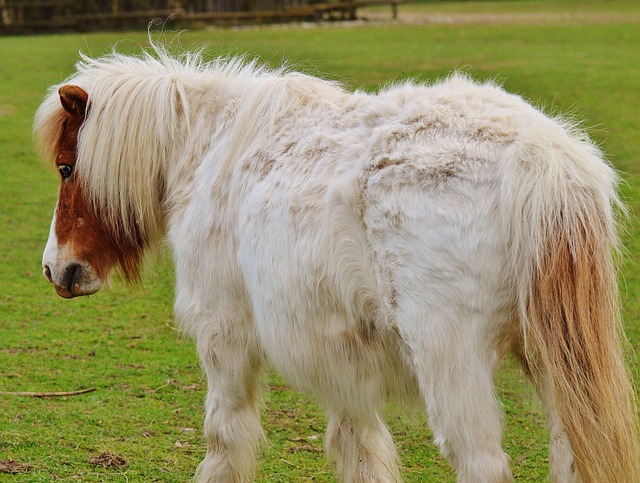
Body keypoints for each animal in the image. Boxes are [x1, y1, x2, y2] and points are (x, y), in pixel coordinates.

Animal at [36, 43, 640, 482]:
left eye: (67, 168)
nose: (55, 270)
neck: (209, 150)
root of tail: (541, 160)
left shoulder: (224, 335)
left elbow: (225, 435)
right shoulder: (340, 355)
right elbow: (358, 446)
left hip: (452, 362)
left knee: (482, 463)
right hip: (552, 366)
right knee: (569, 455)